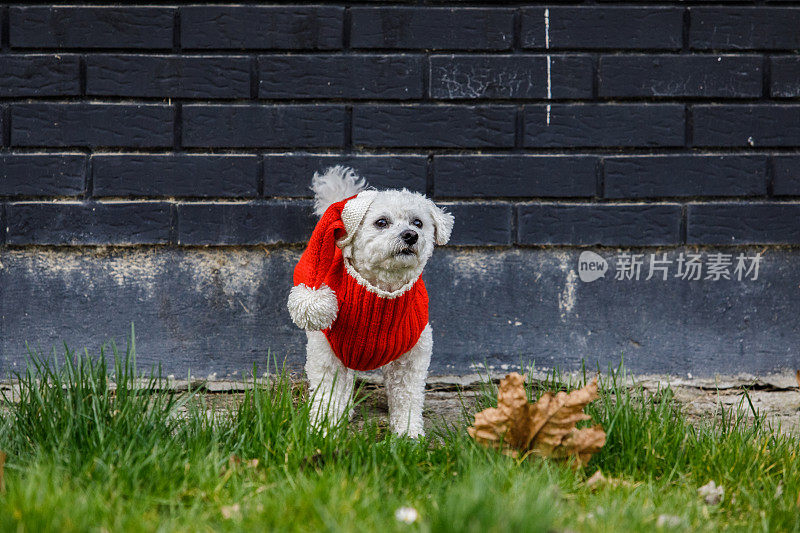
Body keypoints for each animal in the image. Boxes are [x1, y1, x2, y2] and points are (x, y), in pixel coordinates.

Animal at [288, 167, 454, 436]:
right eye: (381, 222)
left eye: (418, 222)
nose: (411, 235)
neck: (381, 294)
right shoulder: (327, 355)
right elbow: (328, 395)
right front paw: (324, 431)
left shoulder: (412, 357)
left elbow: (408, 398)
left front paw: (409, 434)